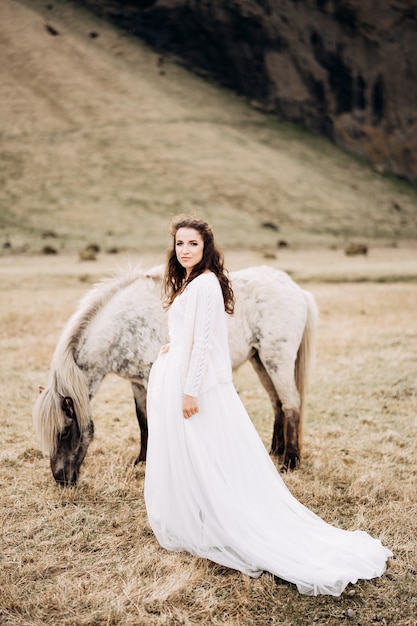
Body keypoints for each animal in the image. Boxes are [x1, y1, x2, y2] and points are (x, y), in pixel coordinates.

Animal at [33, 264, 318, 482]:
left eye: (64, 432)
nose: (61, 479)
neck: (125, 325)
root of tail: (296, 289)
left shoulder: (151, 379)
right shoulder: (137, 383)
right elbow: (143, 421)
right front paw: (142, 460)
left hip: (276, 360)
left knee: (291, 403)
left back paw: (290, 462)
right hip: (260, 361)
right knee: (277, 402)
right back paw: (275, 452)